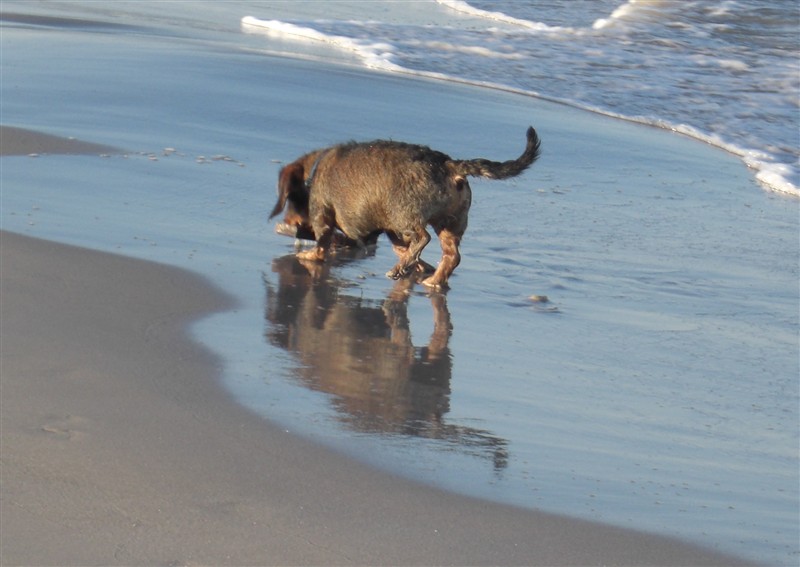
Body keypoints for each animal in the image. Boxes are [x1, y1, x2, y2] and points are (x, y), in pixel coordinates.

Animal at [272, 127, 540, 290]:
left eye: (290, 201)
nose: (286, 221)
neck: (314, 172)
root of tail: (449, 165)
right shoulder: (386, 230)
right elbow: (398, 247)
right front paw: (417, 265)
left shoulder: (325, 216)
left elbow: (323, 242)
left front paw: (308, 253)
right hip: (450, 221)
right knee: (451, 255)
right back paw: (432, 278)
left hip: (404, 214)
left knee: (423, 237)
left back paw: (401, 269)